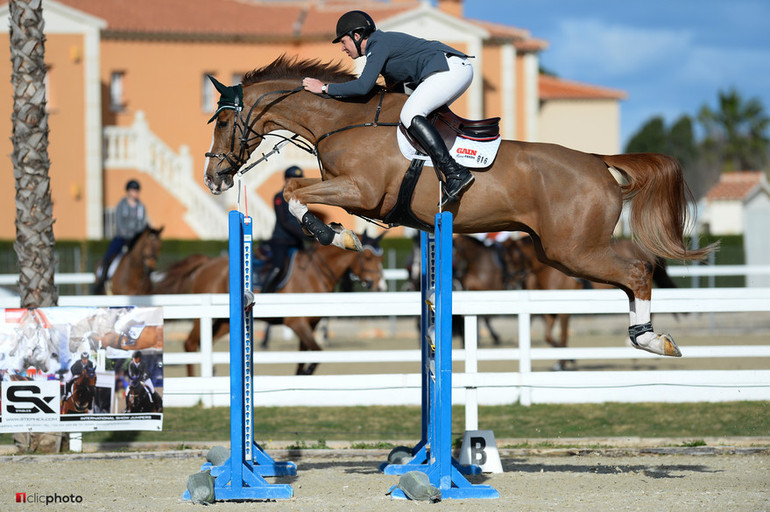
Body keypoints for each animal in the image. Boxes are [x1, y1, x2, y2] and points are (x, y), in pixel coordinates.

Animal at [156, 233, 384, 376]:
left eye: (380, 257)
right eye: (368, 257)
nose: (381, 285)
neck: (315, 273)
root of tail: (206, 262)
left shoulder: (309, 325)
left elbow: (305, 356)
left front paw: (301, 377)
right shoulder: (297, 324)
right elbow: (317, 353)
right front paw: (307, 372)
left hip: (224, 321)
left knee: (206, 342)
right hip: (201, 316)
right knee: (190, 343)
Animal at [200, 56, 712, 358]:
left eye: (223, 120)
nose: (214, 177)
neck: (344, 119)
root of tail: (598, 161)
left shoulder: (361, 191)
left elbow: (295, 195)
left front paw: (337, 236)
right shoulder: (342, 187)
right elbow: (296, 188)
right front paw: (338, 235)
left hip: (575, 249)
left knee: (637, 271)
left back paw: (652, 340)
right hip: (557, 251)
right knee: (632, 272)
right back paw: (646, 336)